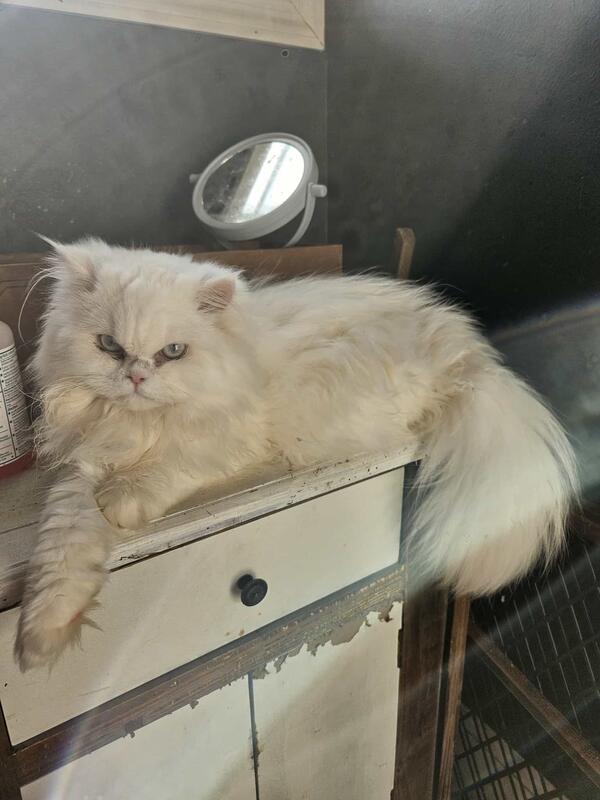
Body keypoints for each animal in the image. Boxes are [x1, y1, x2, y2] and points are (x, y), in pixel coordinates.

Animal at [15, 238, 577, 670]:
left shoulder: (233, 439)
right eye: (109, 346)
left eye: (172, 352)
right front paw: (40, 642)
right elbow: (61, 552)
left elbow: (169, 467)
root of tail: (467, 355)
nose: (134, 376)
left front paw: (123, 501)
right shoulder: (79, 469)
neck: (137, 424)